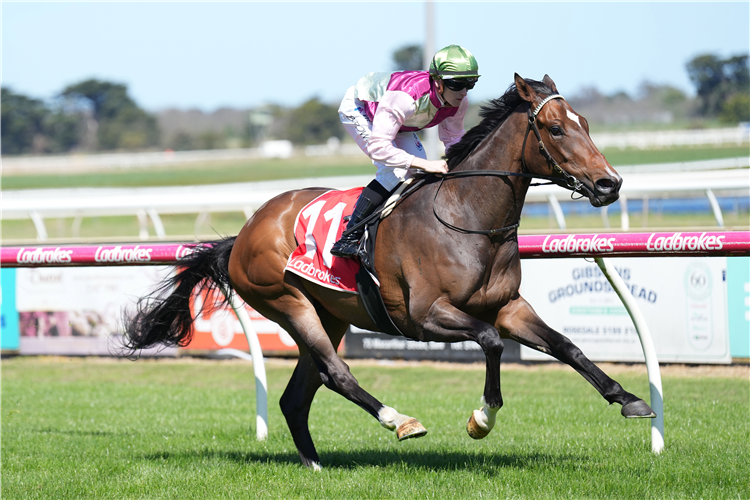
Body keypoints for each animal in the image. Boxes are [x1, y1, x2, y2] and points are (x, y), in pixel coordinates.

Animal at [128, 74, 656, 468]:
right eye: (556, 128)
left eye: (584, 122)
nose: (609, 183)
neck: (468, 216)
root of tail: (244, 232)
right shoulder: (423, 315)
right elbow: (489, 341)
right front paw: (482, 418)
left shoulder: (508, 306)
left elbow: (567, 346)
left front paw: (630, 399)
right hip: (286, 302)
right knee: (336, 373)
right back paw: (398, 420)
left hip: (329, 313)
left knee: (298, 395)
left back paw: (315, 464)